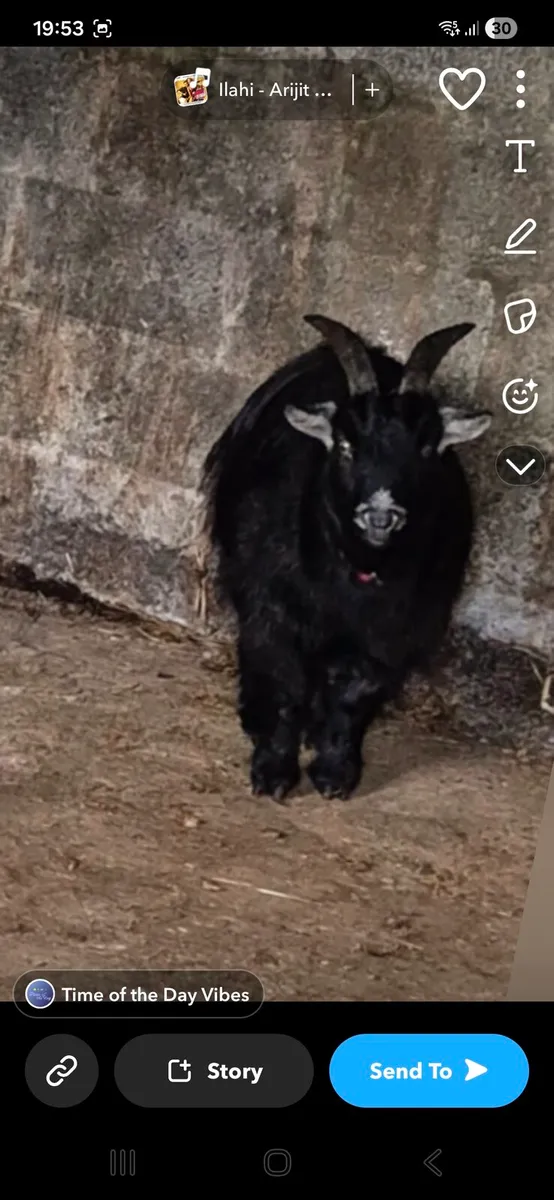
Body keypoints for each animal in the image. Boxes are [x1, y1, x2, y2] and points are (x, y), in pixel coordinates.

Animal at [202, 315, 491, 802]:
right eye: (344, 445)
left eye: (426, 449)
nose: (380, 514)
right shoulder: (270, 604)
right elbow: (279, 677)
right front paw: (273, 772)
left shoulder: (392, 632)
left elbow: (354, 693)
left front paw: (335, 772)